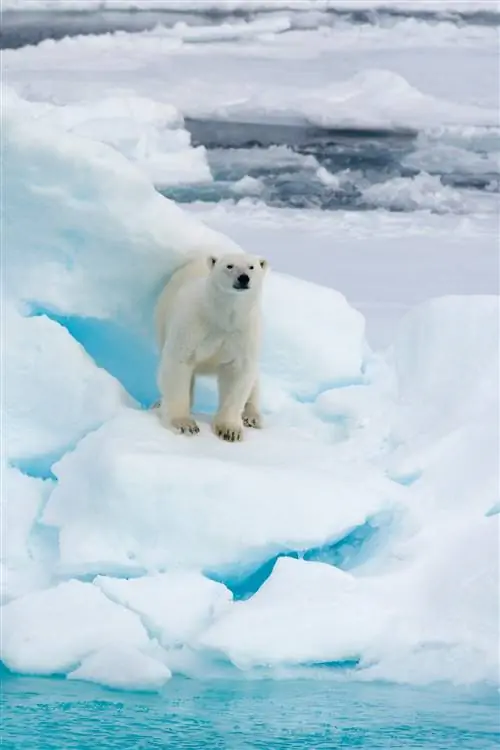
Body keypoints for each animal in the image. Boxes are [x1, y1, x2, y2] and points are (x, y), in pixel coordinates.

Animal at [154, 252, 269, 442]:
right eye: (229, 266)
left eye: (251, 266)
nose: (243, 278)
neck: (223, 318)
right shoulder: (192, 324)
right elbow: (178, 363)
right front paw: (185, 424)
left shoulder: (244, 333)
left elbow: (239, 373)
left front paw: (230, 430)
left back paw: (252, 416)